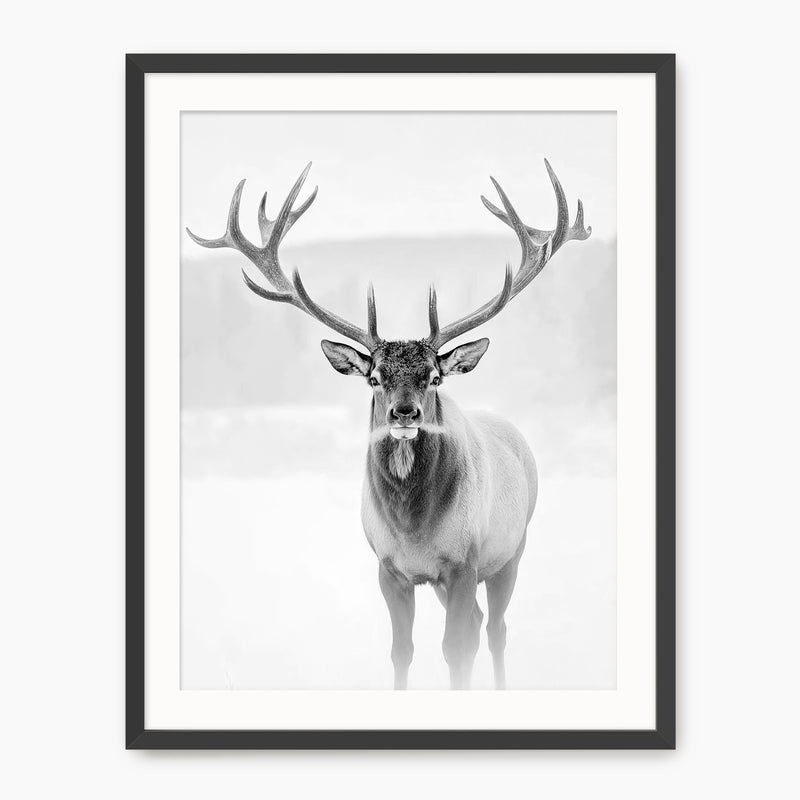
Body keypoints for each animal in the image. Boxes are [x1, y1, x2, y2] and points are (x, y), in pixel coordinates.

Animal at [187, 160, 590, 690]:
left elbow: (455, 649)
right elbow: (403, 651)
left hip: (511, 549)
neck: (413, 528)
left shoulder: (464, 561)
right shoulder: (388, 567)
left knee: (496, 630)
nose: (404, 413)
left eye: (434, 376)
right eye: (375, 377)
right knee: (481, 622)